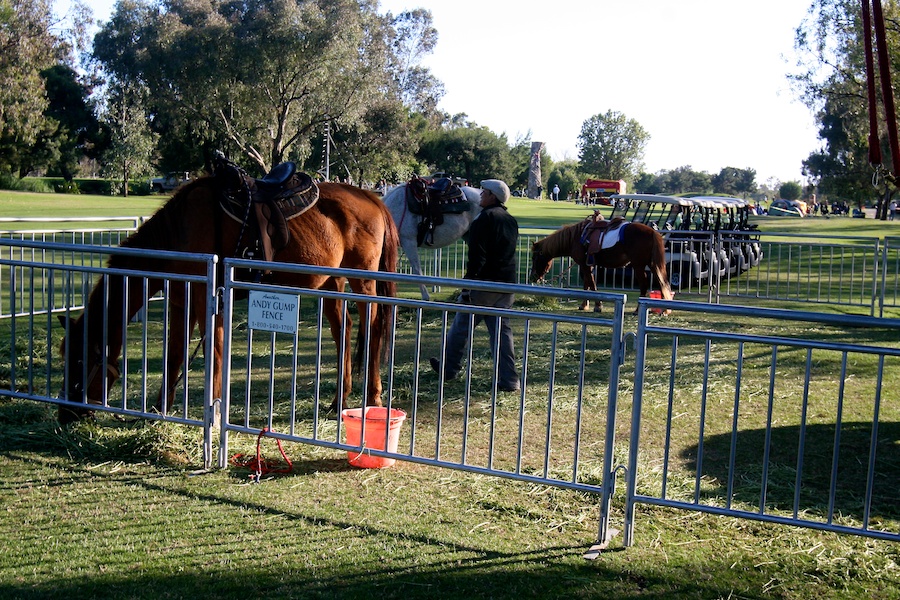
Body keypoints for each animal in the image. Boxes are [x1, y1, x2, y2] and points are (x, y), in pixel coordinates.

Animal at [59, 168, 398, 422]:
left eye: (81, 359)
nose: (68, 414)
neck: (178, 230)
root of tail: (370, 197)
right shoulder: (182, 299)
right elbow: (176, 352)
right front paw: (160, 410)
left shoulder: (204, 295)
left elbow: (213, 349)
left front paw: (214, 410)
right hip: (331, 281)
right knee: (344, 330)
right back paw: (339, 400)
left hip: (363, 281)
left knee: (373, 327)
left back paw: (373, 398)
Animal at [532, 219, 672, 314]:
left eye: (535, 258)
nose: (532, 277)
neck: (576, 238)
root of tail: (652, 232)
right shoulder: (588, 265)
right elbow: (587, 284)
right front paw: (584, 305)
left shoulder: (584, 265)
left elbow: (592, 284)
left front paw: (598, 306)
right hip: (653, 265)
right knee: (662, 283)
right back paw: (664, 310)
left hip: (639, 265)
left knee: (644, 285)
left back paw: (638, 310)